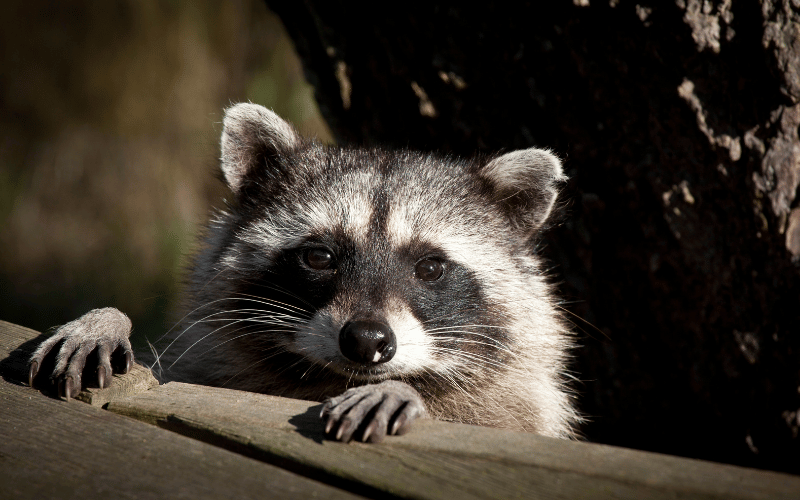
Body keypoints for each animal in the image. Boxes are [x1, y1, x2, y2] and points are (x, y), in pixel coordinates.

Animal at [29, 101, 580, 442]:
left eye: (430, 267)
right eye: (319, 257)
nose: (366, 340)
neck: (326, 379)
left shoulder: (517, 408)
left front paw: (404, 388)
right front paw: (106, 319)